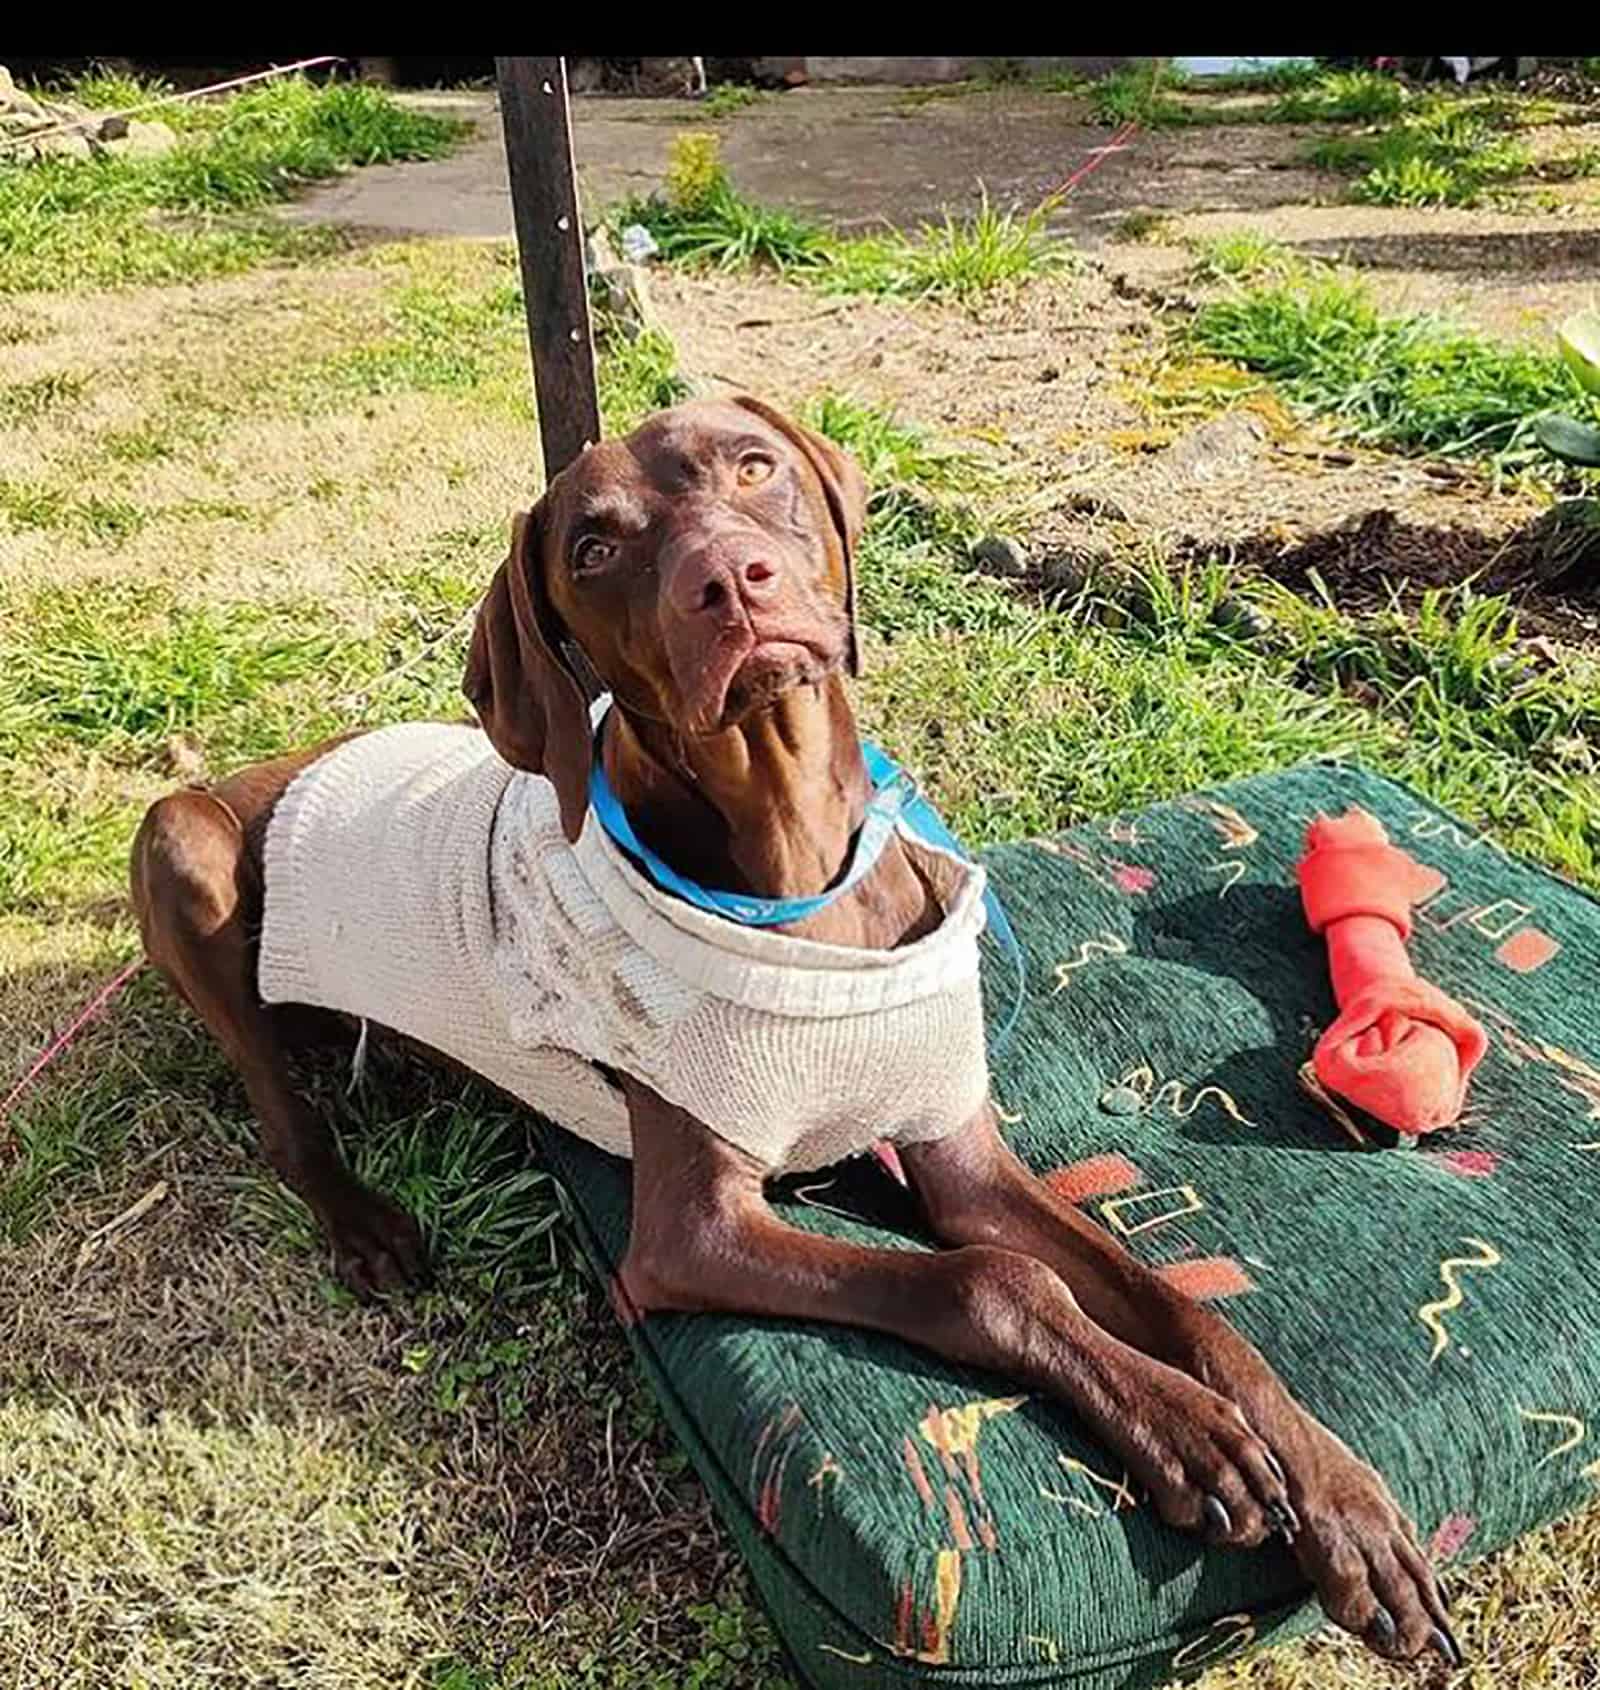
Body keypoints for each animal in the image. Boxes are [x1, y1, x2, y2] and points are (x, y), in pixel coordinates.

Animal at [131, 395, 1466, 1662]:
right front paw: (1185, 1431)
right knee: (277, 1109)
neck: (801, 871)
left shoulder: (958, 1152)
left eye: (751, 466)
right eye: (593, 545)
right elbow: (992, 1278)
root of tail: (284, 764)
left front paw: (1337, 1495)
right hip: (182, 842)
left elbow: (1181, 1304)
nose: (733, 581)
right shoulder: (689, 1233)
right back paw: (361, 1220)